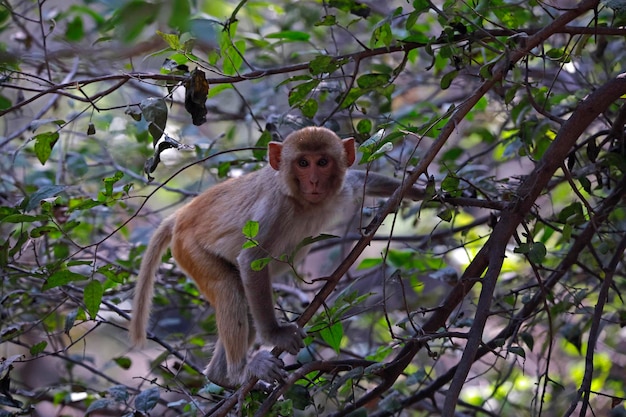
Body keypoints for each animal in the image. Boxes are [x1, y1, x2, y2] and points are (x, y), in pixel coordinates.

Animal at [129, 126, 422, 386]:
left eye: (322, 162)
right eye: (303, 163)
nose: (314, 181)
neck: (303, 202)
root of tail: (181, 215)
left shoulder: (341, 190)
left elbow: (361, 179)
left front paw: (424, 191)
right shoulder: (274, 209)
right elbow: (251, 260)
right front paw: (275, 334)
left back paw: (220, 376)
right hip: (189, 248)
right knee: (228, 288)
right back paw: (240, 373)